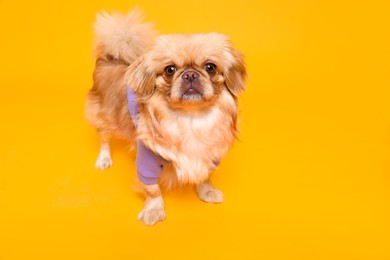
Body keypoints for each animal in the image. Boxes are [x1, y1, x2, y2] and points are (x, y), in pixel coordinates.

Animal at [85, 9, 247, 225]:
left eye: (210, 67)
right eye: (170, 70)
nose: (190, 74)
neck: (190, 119)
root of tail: (110, 57)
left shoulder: (209, 155)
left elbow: (205, 176)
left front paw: (207, 193)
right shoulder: (147, 164)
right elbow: (152, 190)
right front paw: (154, 211)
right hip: (104, 117)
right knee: (104, 138)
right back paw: (103, 160)